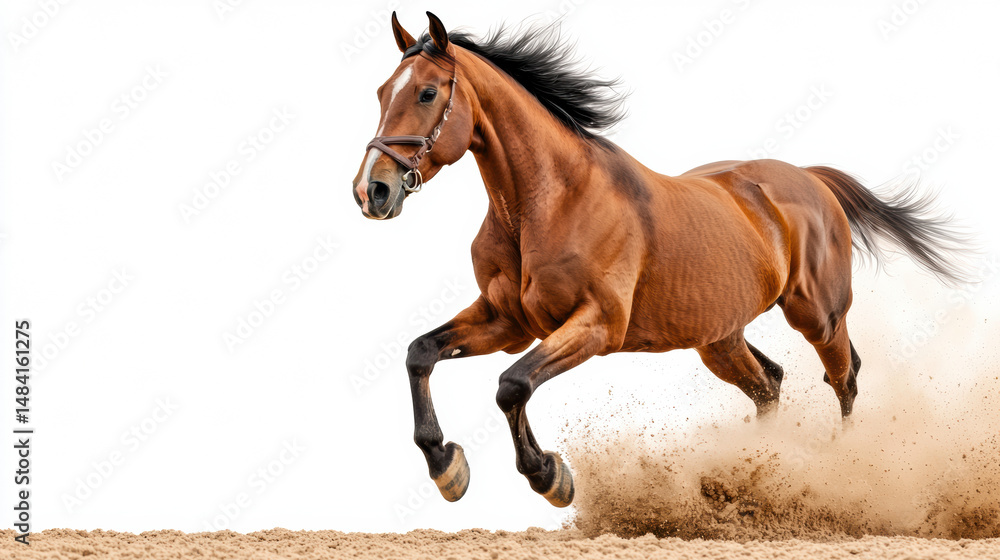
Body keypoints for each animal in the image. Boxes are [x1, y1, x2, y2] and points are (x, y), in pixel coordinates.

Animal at [351, 12, 971, 508]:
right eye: (381, 92)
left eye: (427, 93)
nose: (371, 191)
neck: (547, 203)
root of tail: (810, 179)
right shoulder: (507, 321)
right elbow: (420, 353)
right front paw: (446, 466)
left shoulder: (596, 325)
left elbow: (512, 385)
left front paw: (549, 476)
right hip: (718, 340)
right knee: (770, 384)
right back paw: (754, 480)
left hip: (818, 316)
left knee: (843, 379)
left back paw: (842, 475)